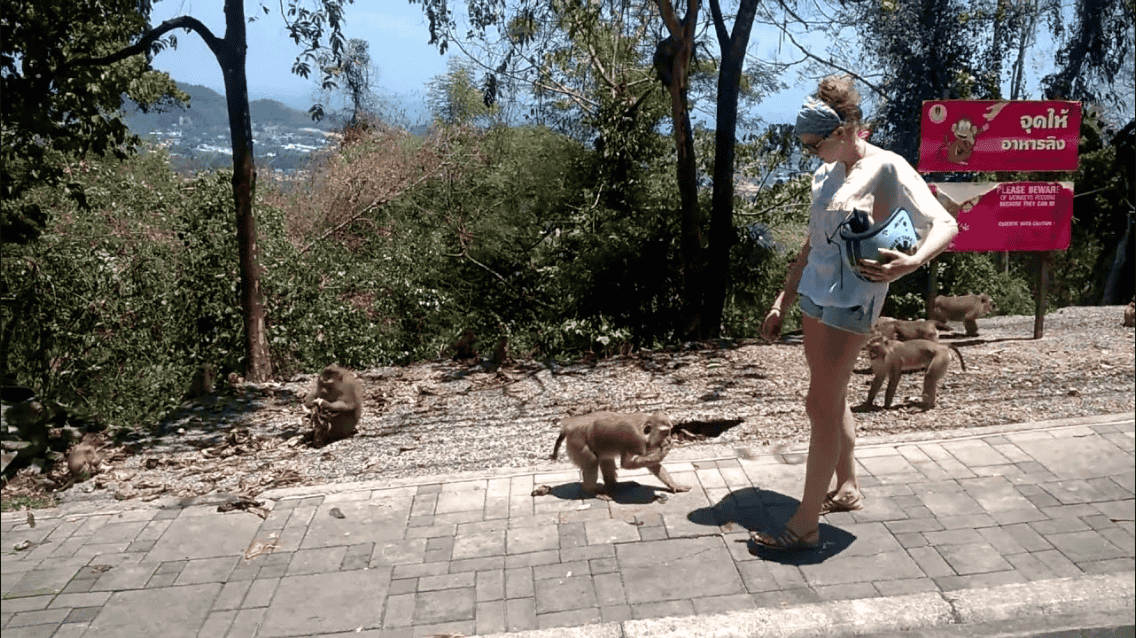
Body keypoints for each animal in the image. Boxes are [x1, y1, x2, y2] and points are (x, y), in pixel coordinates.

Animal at [550, 411, 690, 499]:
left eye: (669, 432)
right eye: (665, 433)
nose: (669, 440)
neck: (644, 429)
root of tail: (569, 425)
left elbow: (652, 464)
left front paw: (674, 485)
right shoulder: (635, 438)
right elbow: (626, 464)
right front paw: (663, 453)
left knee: (605, 458)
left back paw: (613, 486)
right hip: (577, 441)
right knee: (591, 461)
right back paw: (592, 492)